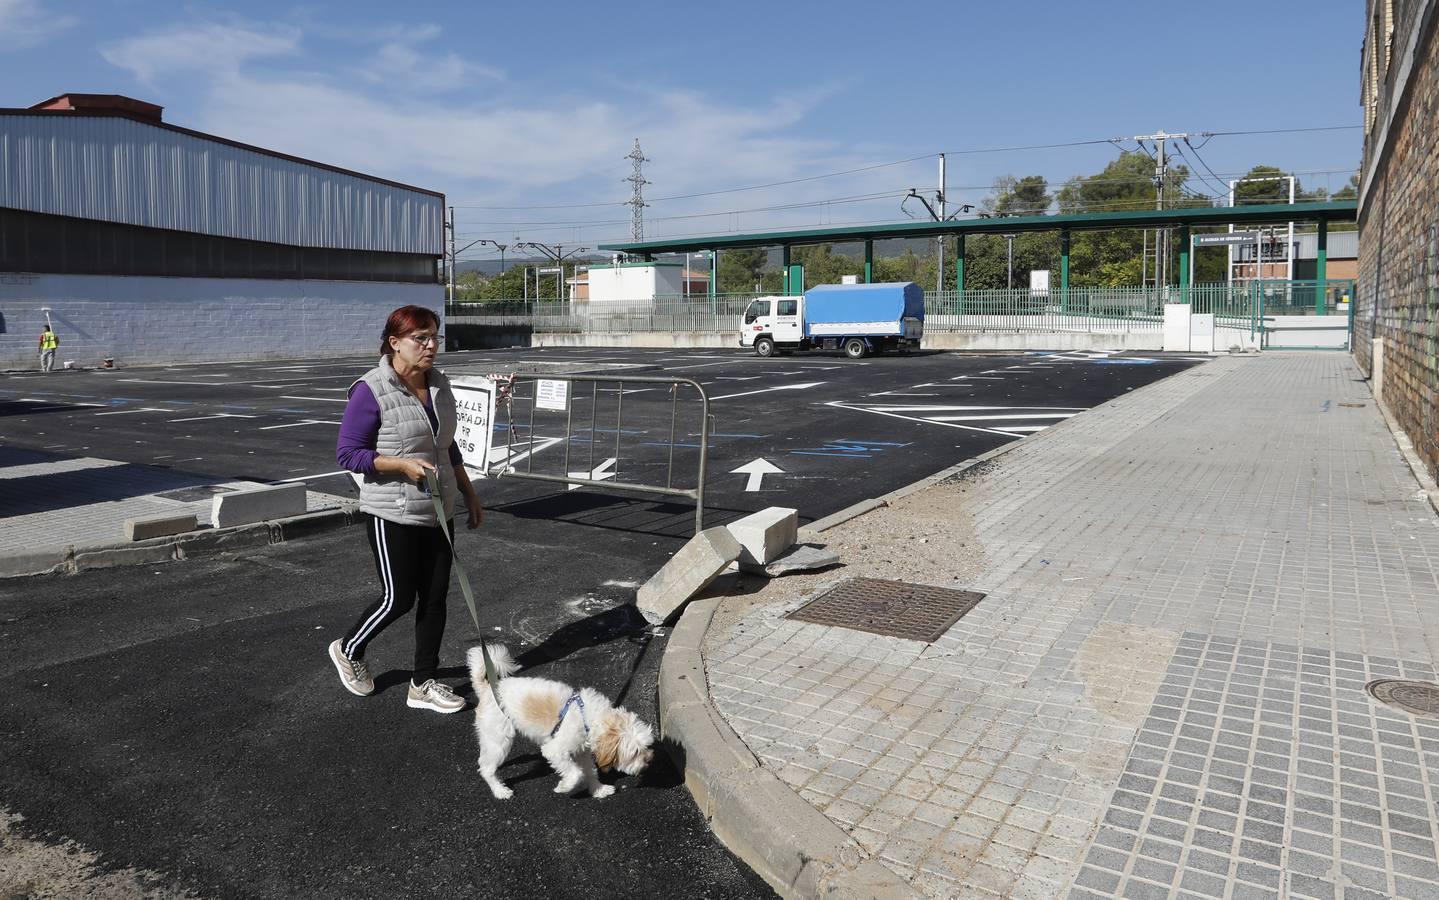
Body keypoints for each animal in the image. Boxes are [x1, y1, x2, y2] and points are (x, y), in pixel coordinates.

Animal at [469, 642, 656, 794]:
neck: (586, 715)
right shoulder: (555, 750)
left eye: (647, 746)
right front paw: (565, 787)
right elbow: (576, 773)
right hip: (500, 740)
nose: (649, 761)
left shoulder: (582, 750)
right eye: (635, 752)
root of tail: (489, 689)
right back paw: (500, 791)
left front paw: (598, 790)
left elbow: (590, 771)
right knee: (485, 768)